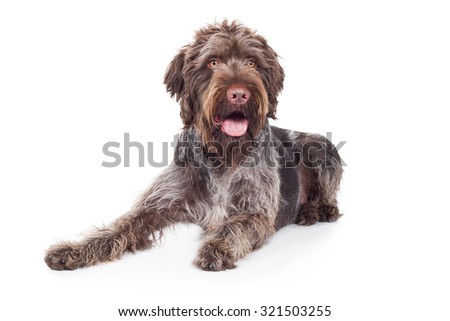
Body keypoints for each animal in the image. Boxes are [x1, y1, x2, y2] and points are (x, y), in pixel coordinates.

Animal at [44, 20, 342, 270]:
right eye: (212, 62)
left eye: (252, 62)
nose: (239, 94)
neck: (223, 155)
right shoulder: (155, 206)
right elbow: (119, 226)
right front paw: (75, 250)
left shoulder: (254, 212)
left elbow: (232, 227)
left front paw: (217, 248)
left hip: (319, 146)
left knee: (331, 198)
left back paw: (315, 209)